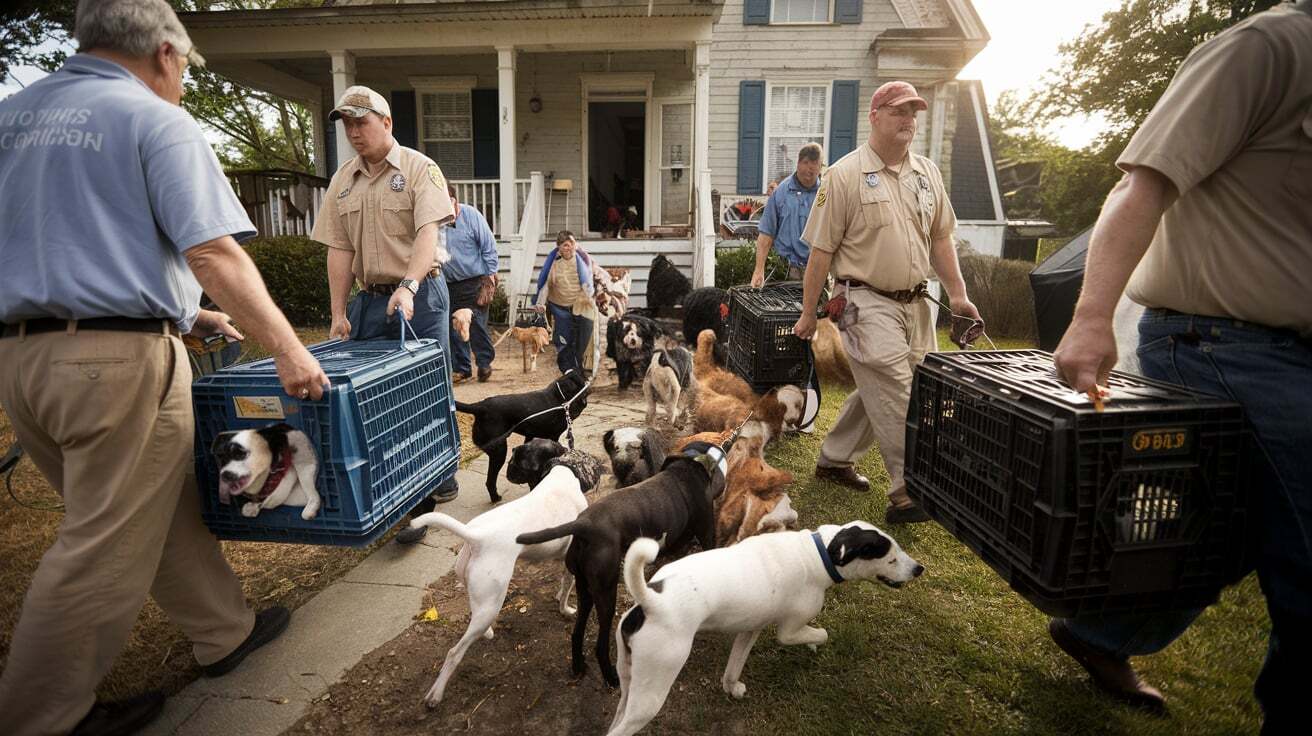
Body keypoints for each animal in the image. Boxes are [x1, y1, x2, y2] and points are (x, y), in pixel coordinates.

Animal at [456, 369, 590, 501]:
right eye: (581, 380)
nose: (589, 383)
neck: (558, 397)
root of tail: (480, 406)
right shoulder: (553, 437)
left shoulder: (530, 437)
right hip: (499, 451)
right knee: (490, 481)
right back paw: (496, 498)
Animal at [514, 438, 729, 687]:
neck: (688, 466)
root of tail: (583, 525)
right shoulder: (707, 536)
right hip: (606, 594)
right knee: (600, 645)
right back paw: (610, 677)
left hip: (585, 591)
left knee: (577, 633)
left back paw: (578, 667)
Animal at [603, 519, 923, 729]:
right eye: (891, 559)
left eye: (898, 550)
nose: (920, 568)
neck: (819, 553)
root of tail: (651, 602)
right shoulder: (788, 631)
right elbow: (821, 633)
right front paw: (813, 641)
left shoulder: (749, 629)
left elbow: (733, 668)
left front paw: (732, 688)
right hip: (652, 691)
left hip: (629, 682)